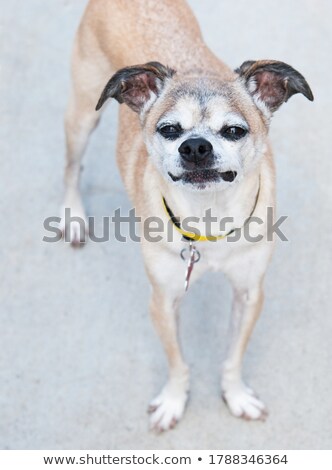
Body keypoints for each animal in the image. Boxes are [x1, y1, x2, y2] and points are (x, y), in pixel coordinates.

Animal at [61, 0, 312, 430]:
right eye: (169, 130)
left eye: (234, 131)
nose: (194, 146)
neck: (209, 218)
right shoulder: (163, 300)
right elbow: (178, 362)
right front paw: (174, 400)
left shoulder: (249, 294)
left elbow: (233, 357)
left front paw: (236, 395)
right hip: (82, 114)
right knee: (72, 166)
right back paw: (73, 215)